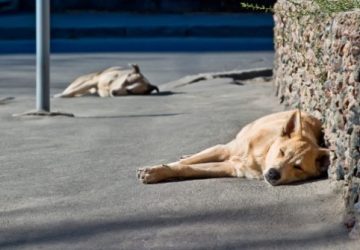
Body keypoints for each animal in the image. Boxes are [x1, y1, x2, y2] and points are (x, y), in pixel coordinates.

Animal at [137, 110, 330, 186]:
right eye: (282, 152)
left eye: (298, 167)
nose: (273, 174)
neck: (260, 157)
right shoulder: (225, 150)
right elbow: (184, 164)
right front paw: (155, 170)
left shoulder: (229, 167)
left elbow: (188, 168)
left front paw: (159, 172)